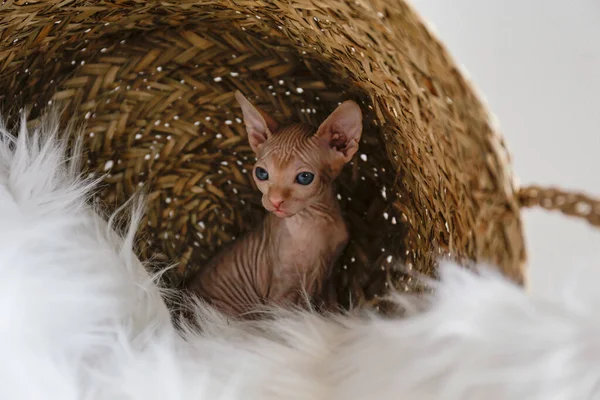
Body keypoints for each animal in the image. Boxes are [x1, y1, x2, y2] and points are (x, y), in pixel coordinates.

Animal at [188, 90, 364, 318]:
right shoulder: (281, 294)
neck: (316, 220)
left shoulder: (328, 278)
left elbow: (332, 307)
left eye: (305, 177)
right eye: (262, 173)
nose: (275, 201)